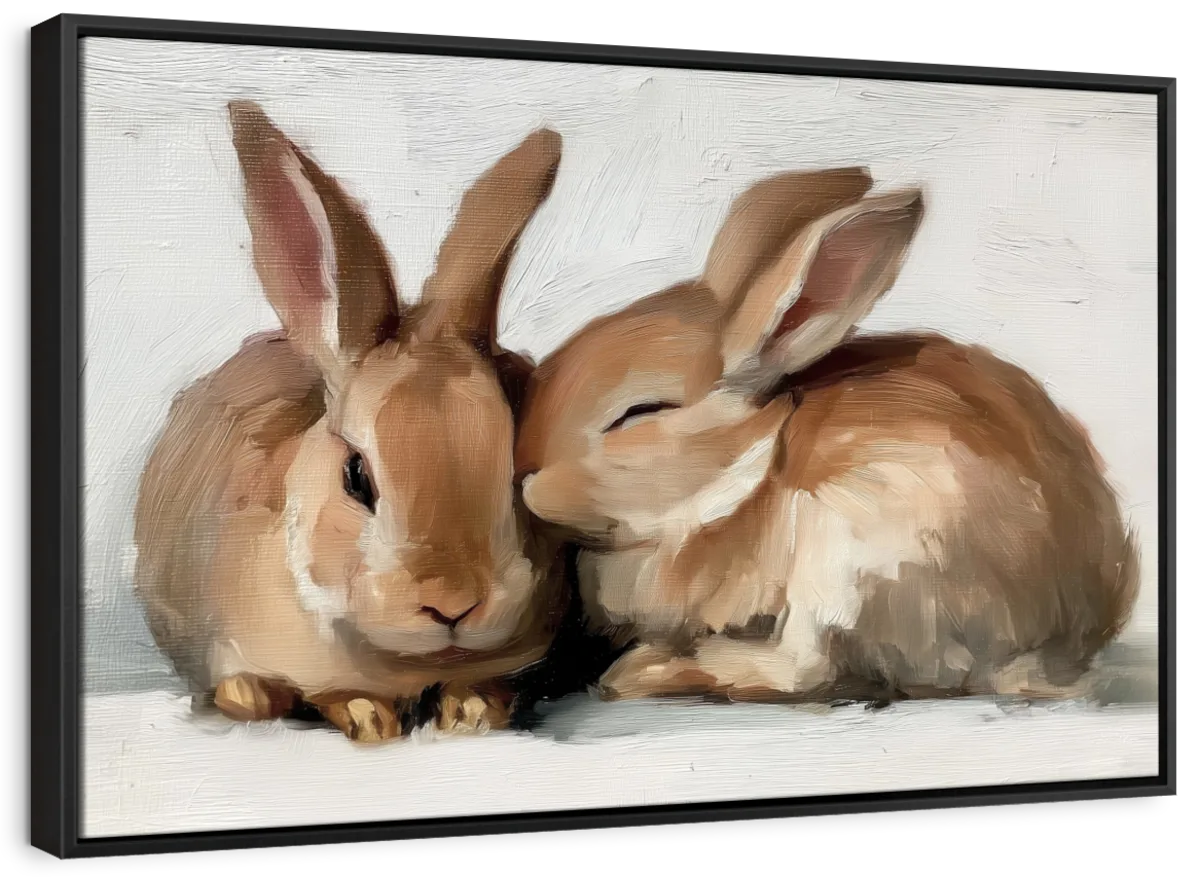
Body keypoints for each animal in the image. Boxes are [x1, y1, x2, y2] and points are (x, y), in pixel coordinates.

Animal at [133, 101, 568, 742]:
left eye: (515, 473)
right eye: (356, 477)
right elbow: (331, 694)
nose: (453, 603)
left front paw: (469, 713)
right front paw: (370, 719)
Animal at [509, 166, 1140, 706]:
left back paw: (644, 671)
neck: (747, 471)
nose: (527, 482)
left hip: (852, 551)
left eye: (639, 413)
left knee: (804, 671)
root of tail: (1055, 645)